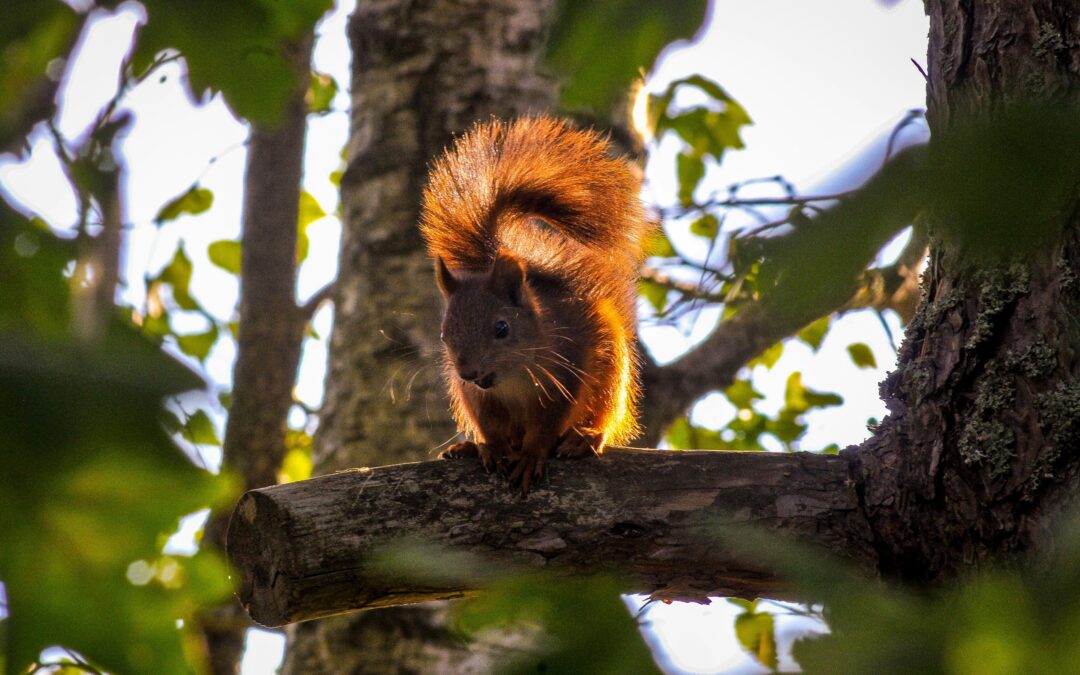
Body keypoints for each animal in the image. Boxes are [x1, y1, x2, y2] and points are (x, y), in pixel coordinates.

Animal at [420, 116, 653, 493]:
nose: (467, 372)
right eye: (444, 335)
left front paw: (531, 457)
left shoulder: (564, 375)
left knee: (601, 413)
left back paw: (584, 437)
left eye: (502, 328)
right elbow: (491, 426)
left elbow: (545, 428)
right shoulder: (479, 398)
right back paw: (471, 447)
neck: (510, 378)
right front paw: (491, 448)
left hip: (611, 372)